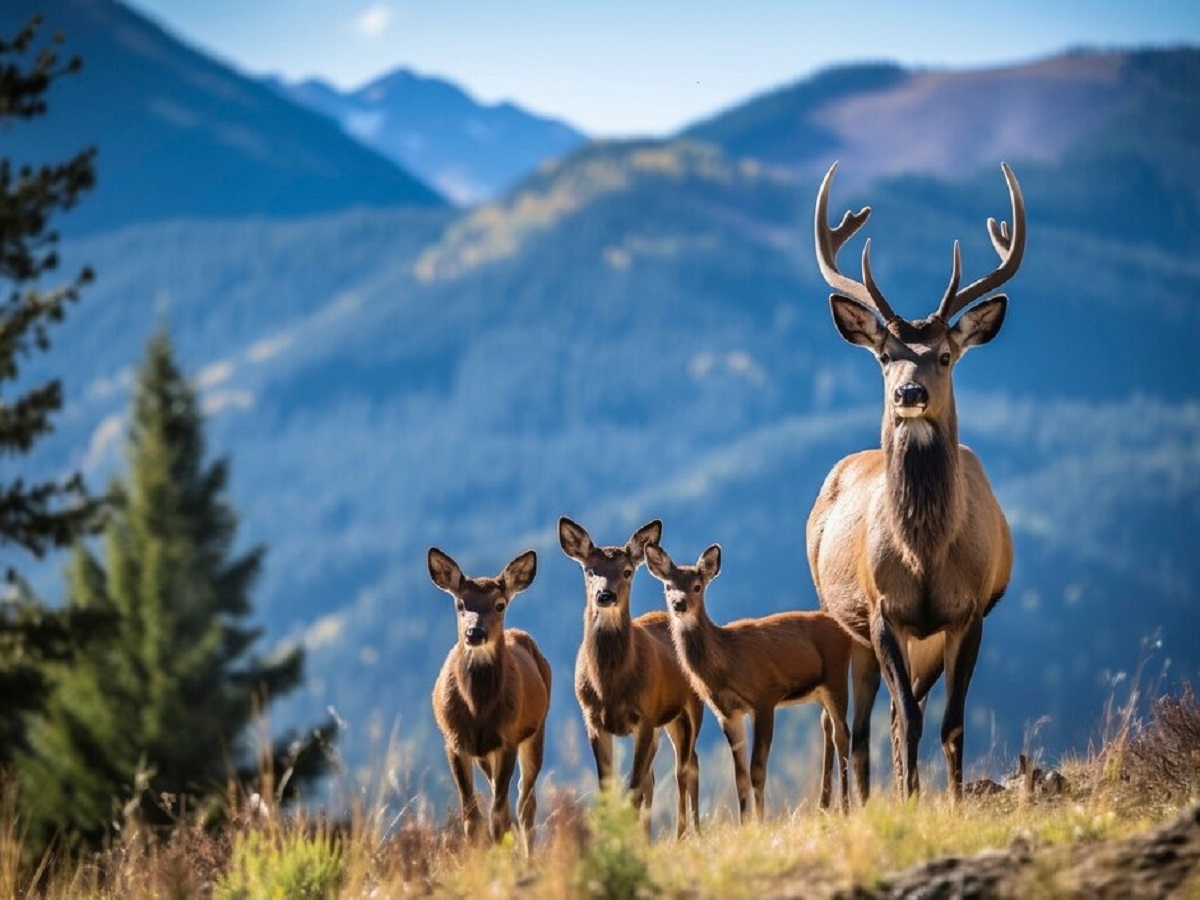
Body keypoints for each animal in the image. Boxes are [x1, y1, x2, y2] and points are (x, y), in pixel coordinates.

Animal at [427, 547, 552, 854]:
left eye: (499, 604)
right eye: (460, 603)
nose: (475, 633)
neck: (477, 709)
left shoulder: (508, 739)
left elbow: (498, 816)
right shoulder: (454, 741)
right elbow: (472, 819)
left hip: (536, 731)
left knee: (525, 804)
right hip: (485, 755)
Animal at [559, 518, 700, 844]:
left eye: (626, 571)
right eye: (590, 570)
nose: (605, 595)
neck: (609, 686)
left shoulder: (645, 716)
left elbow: (633, 788)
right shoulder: (592, 718)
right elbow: (609, 787)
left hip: (689, 707)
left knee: (686, 767)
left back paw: (687, 834)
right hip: (667, 722)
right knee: (658, 776)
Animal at [648, 540, 854, 820]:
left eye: (697, 586)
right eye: (668, 586)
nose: (679, 603)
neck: (727, 662)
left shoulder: (765, 697)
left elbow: (757, 769)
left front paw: (762, 821)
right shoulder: (728, 713)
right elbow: (740, 776)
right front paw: (746, 823)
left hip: (836, 675)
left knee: (843, 735)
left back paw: (845, 807)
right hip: (819, 690)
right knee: (829, 729)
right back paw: (824, 806)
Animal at [806, 160, 1022, 801]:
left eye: (946, 355)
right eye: (885, 355)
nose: (909, 392)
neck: (924, 553)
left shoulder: (969, 613)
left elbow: (947, 723)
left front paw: (947, 801)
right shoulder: (883, 612)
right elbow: (907, 716)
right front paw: (909, 802)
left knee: (877, 725)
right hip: (842, 622)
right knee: (842, 727)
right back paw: (841, 806)